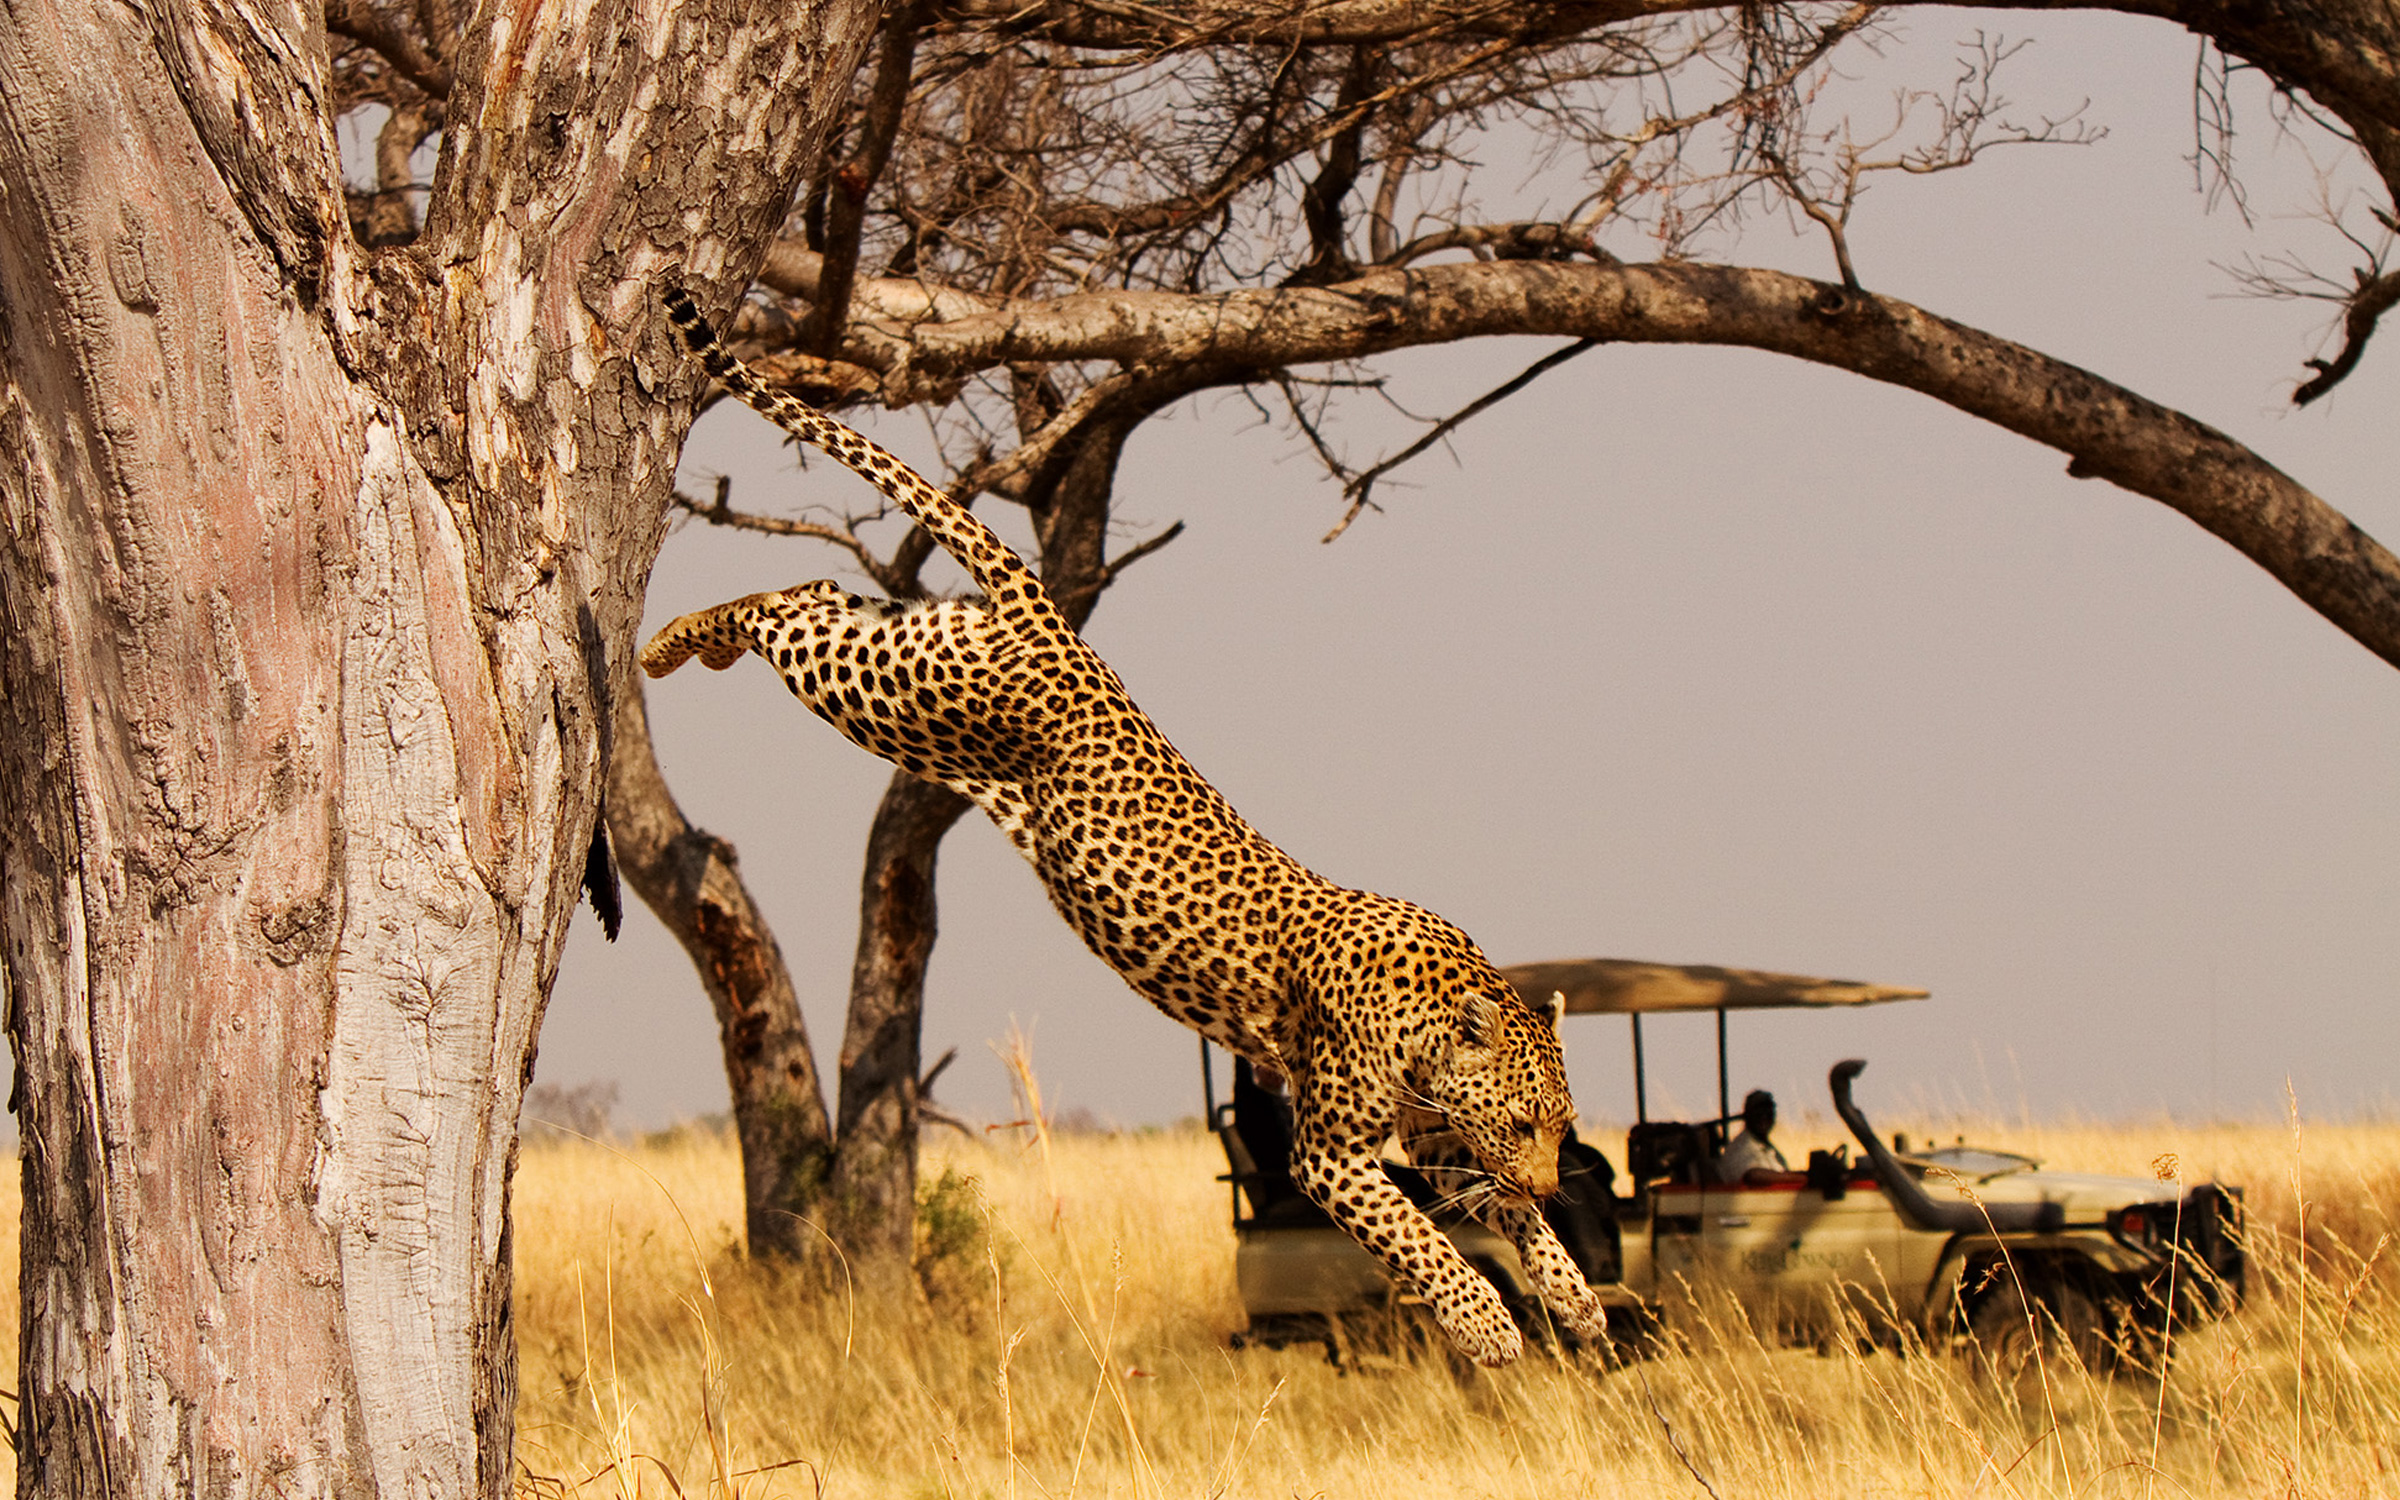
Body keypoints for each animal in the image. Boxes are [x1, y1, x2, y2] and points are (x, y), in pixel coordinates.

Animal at [648, 286, 1603, 1363]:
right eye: (1525, 1120)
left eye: (1561, 1126)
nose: (1551, 1171)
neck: (1434, 1018)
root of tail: (1052, 619)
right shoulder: (1329, 1154)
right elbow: (1421, 1238)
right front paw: (1486, 1325)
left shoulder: (1436, 1136)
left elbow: (1503, 1216)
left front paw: (1573, 1294)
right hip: (897, 696)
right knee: (783, 613)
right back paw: (666, 644)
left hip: (904, 654)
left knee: (812, 592)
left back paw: (685, 640)